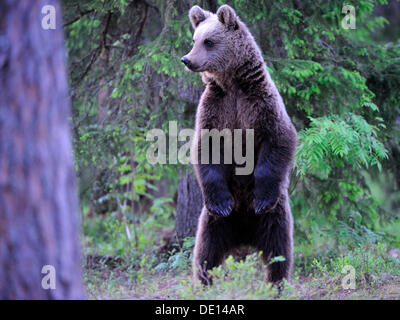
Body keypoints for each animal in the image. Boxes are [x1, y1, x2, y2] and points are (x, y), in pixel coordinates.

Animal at [183, 4, 298, 284]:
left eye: (208, 41)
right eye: (194, 39)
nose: (187, 59)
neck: (232, 83)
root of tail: (244, 237)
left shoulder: (261, 103)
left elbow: (279, 139)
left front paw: (261, 198)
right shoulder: (215, 107)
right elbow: (205, 149)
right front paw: (222, 203)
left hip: (276, 216)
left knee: (279, 250)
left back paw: (276, 283)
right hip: (213, 223)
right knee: (206, 252)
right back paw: (205, 282)